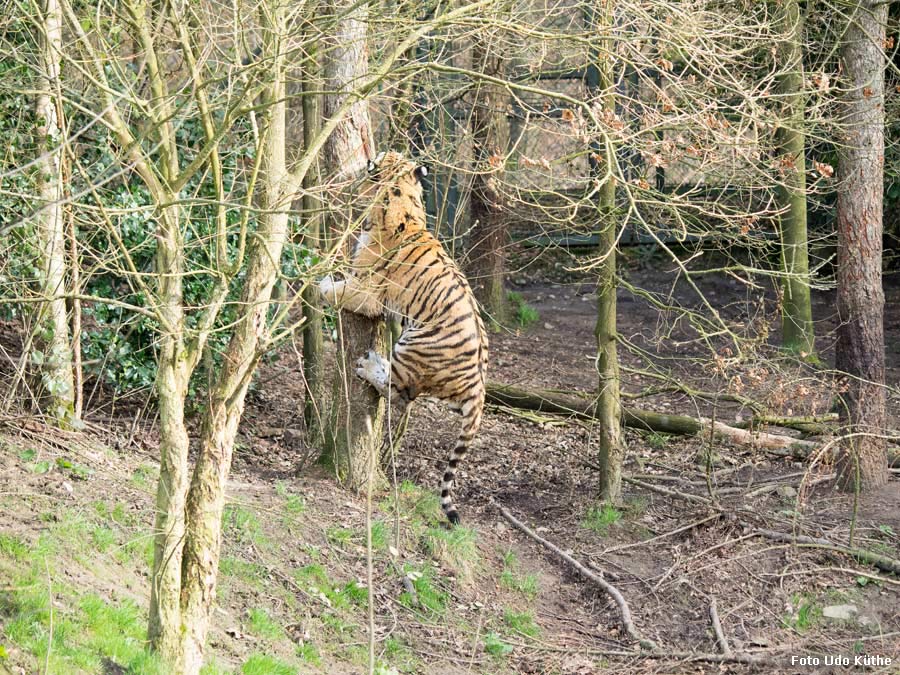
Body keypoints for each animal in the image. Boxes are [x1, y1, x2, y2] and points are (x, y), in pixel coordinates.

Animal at [318, 151, 488, 524]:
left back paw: (369, 365)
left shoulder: (365, 291)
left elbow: (335, 290)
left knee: (399, 394)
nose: (373, 155)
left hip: (412, 344)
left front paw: (317, 282)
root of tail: (479, 388)